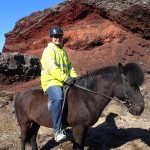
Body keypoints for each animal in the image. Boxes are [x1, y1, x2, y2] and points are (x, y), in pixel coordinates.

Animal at [14, 62, 145, 149]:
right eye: (130, 83)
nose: (140, 108)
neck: (86, 98)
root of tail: (20, 94)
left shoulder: (85, 128)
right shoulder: (78, 128)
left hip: (36, 122)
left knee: (32, 137)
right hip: (25, 123)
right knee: (23, 138)